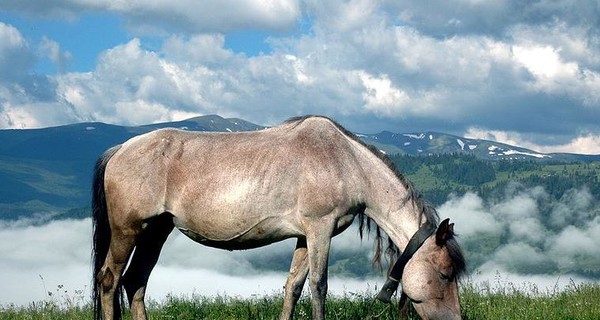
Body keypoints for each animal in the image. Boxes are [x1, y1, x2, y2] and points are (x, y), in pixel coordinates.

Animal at [91, 115, 466, 320]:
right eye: (445, 274)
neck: (347, 163)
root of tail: (119, 150)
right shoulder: (319, 229)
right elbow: (318, 286)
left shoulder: (304, 236)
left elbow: (293, 287)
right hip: (127, 230)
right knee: (110, 279)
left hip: (156, 231)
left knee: (135, 281)